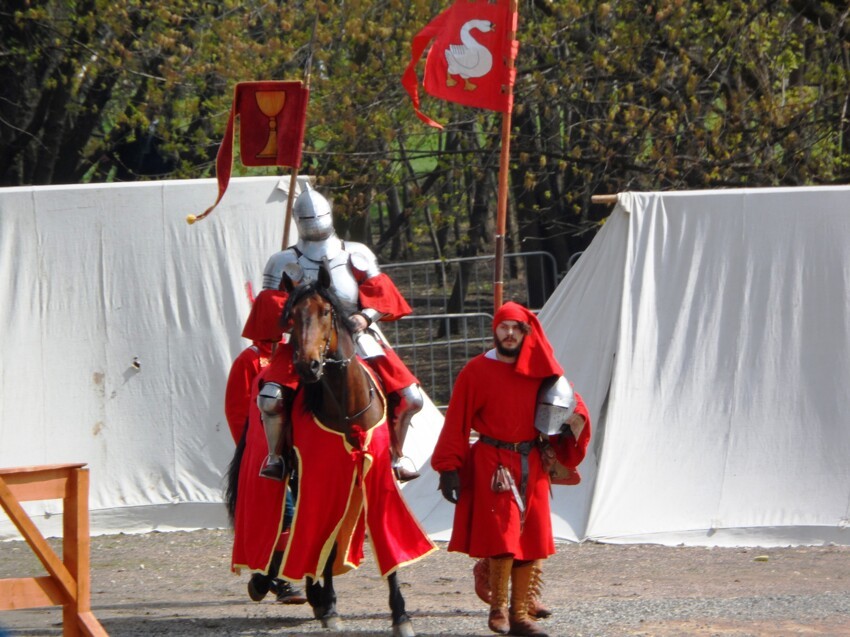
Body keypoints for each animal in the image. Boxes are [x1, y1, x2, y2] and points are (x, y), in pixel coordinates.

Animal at [278, 262, 434, 632]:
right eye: (291, 316)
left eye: (326, 312)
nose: (307, 366)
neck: (347, 405)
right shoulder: (324, 475)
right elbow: (326, 539)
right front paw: (330, 607)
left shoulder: (377, 474)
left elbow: (386, 533)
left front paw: (400, 614)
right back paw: (317, 596)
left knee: (411, 398)